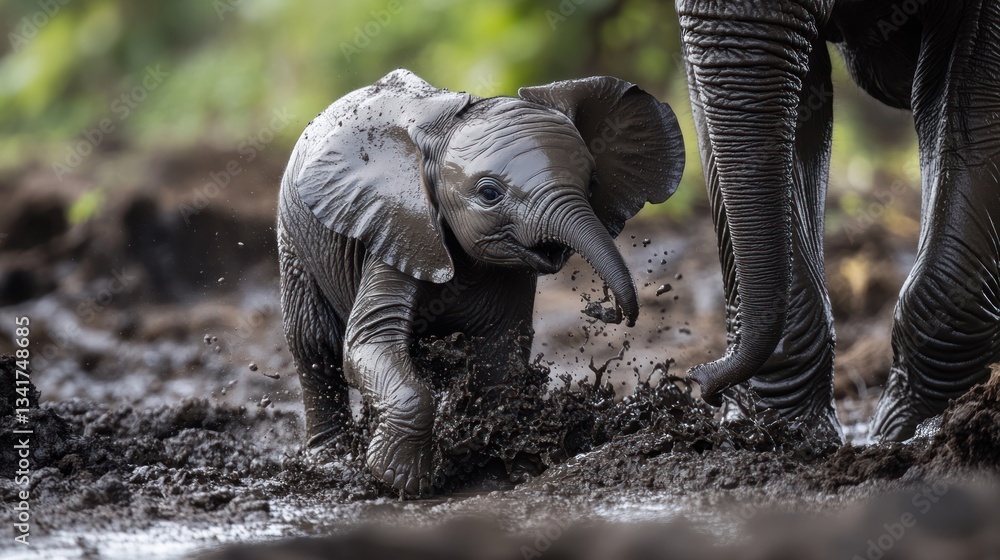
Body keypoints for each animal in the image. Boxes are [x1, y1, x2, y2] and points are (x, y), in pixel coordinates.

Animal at [277, 69, 685, 496]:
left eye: (592, 185)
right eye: (489, 193)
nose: (614, 312)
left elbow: (499, 352)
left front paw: (500, 470)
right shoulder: (398, 227)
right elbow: (370, 341)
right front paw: (400, 481)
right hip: (294, 240)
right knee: (314, 345)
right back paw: (331, 463)